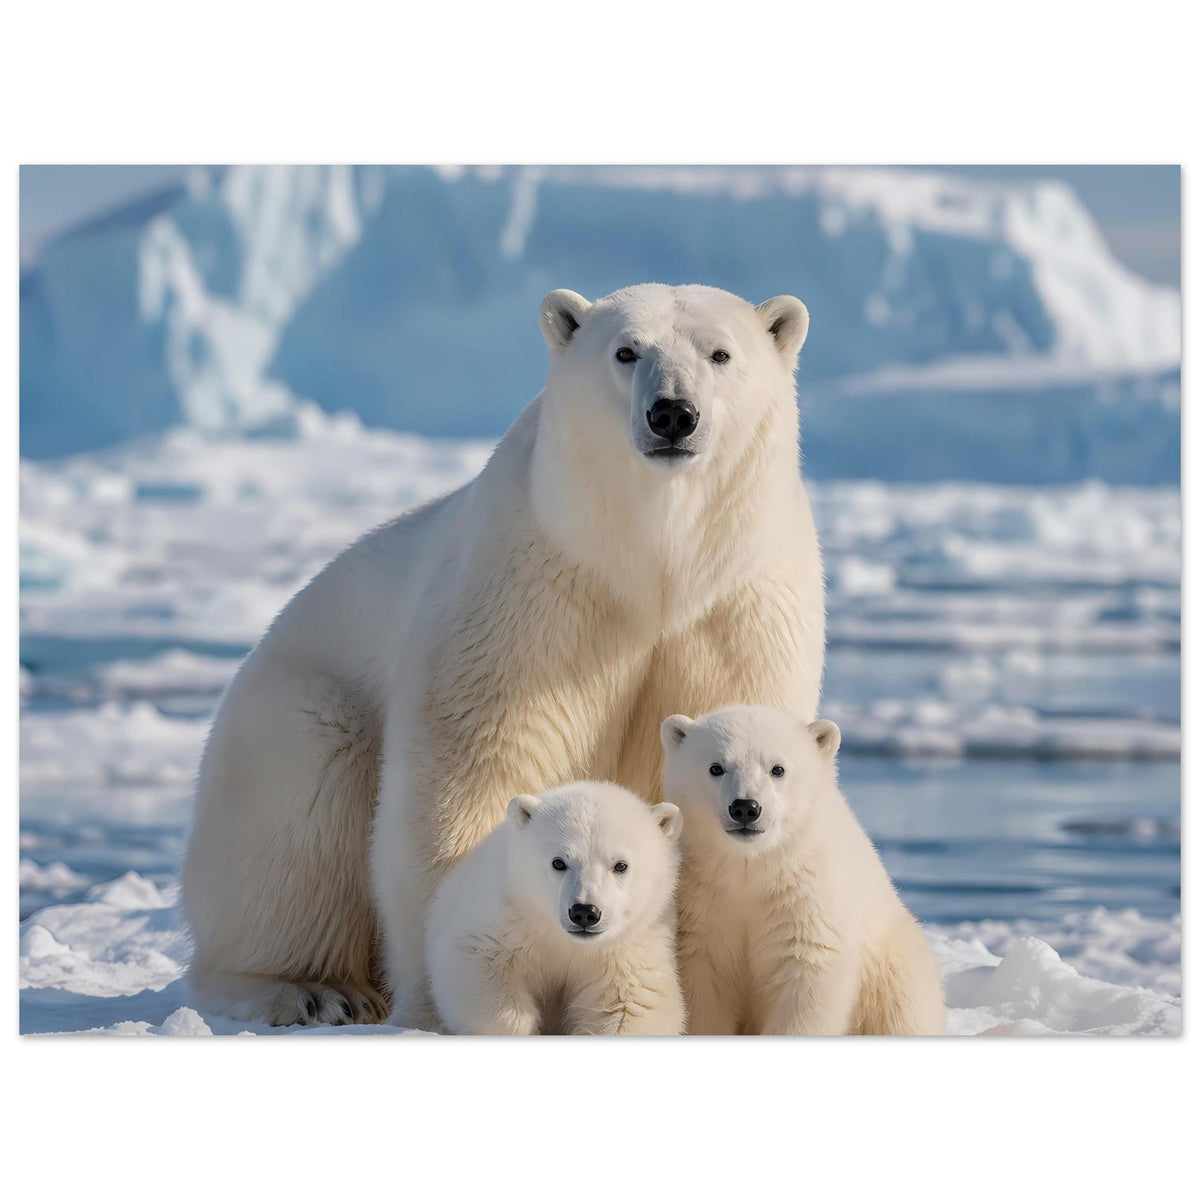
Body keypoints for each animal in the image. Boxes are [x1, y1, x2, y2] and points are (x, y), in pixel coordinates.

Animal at [426, 781, 686, 1035]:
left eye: (620, 865)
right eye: (558, 862)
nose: (584, 912)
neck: (565, 942)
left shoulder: (628, 951)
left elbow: (632, 1005)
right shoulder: (506, 920)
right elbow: (478, 965)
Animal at [660, 706, 945, 1036]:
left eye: (778, 769)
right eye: (716, 767)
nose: (745, 807)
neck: (752, 866)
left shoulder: (807, 897)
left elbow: (806, 974)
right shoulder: (703, 901)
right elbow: (704, 987)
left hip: (892, 965)